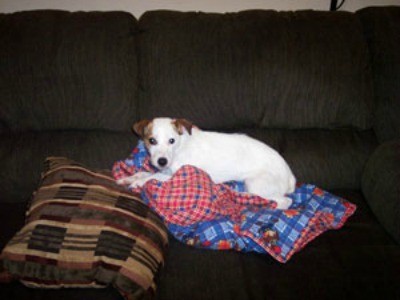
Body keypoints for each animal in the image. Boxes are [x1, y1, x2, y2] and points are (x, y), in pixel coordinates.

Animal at [117, 117, 296, 209]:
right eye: (152, 141)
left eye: (171, 140)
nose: (162, 161)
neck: (180, 147)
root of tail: (290, 176)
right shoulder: (166, 170)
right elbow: (144, 172)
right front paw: (129, 178)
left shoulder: (175, 175)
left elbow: (152, 177)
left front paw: (138, 182)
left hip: (256, 183)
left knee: (284, 201)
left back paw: (246, 196)